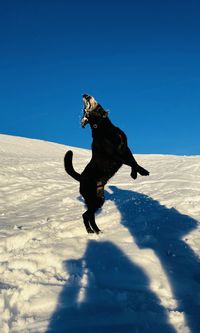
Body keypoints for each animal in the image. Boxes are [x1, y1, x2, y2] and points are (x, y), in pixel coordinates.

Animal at [63, 94, 149, 233]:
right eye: (85, 110)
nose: (84, 94)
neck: (104, 127)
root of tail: (81, 177)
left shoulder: (126, 148)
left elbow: (133, 161)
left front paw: (136, 173)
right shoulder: (115, 154)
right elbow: (130, 162)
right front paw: (140, 173)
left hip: (99, 199)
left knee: (89, 215)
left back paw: (97, 231)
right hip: (92, 198)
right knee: (86, 215)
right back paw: (91, 231)